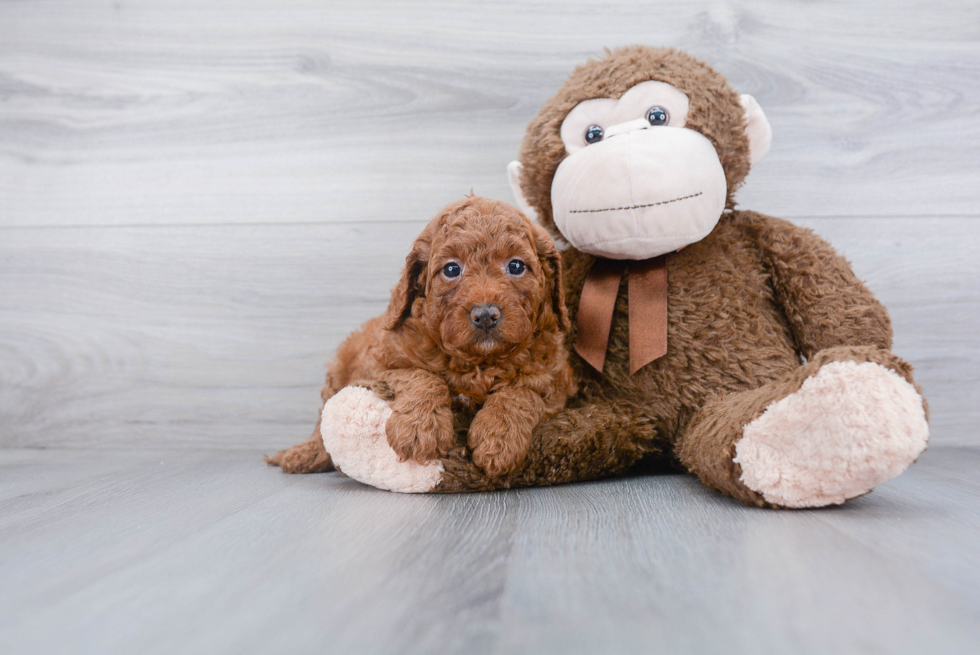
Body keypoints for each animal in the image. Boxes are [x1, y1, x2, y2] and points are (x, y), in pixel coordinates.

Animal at [264, 195, 580, 476]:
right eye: (451, 269)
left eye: (515, 266)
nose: (485, 314)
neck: (477, 363)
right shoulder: (378, 366)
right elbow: (422, 376)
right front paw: (419, 429)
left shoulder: (556, 379)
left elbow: (522, 391)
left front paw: (498, 439)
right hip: (338, 371)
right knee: (322, 421)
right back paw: (304, 454)